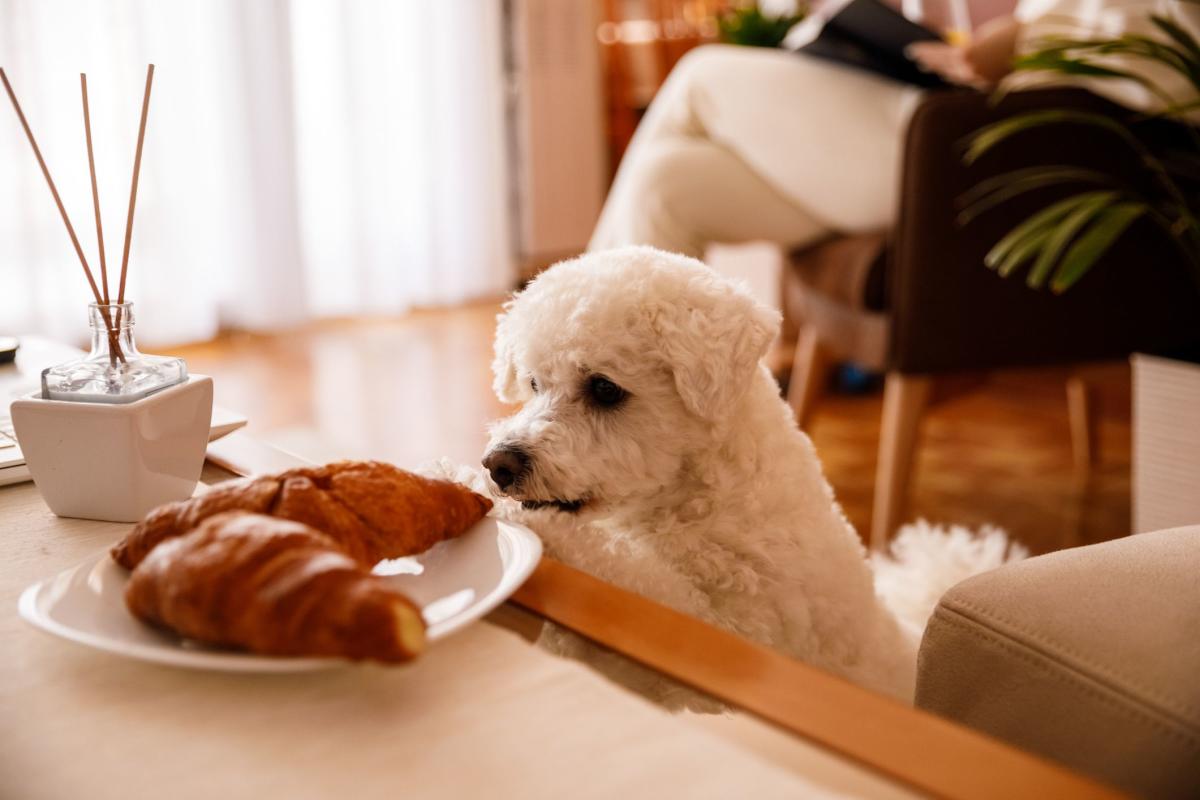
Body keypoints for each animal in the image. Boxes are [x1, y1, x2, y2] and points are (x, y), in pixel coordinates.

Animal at [451, 247, 1022, 710]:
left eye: (605, 389)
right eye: (533, 383)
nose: (498, 465)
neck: (705, 497)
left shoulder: (727, 635)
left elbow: (625, 578)